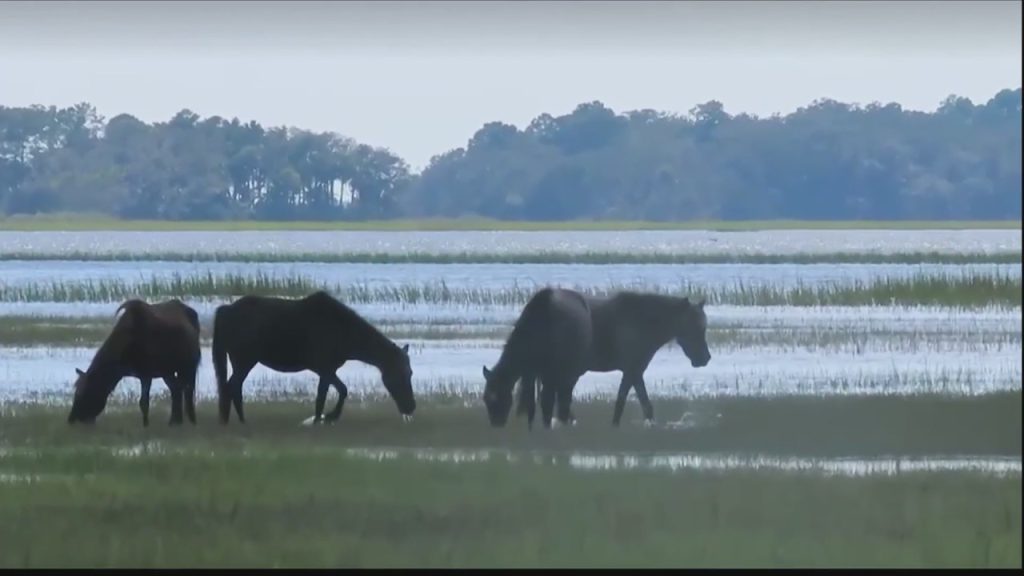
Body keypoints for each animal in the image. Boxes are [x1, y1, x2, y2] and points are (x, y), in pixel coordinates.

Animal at [68, 298, 201, 427]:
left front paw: (146, 425)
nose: (71, 419)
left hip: (189, 366)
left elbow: (144, 402)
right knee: (177, 390)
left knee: (188, 390)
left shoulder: (146, 373)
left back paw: (191, 420)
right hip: (168, 371)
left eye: (81, 393)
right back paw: (175, 421)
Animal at [211, 290, 416, 425]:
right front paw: (330, 416)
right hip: (244, 361)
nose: (411, 407)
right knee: (232, 387)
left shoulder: (327, 371)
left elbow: (322, 396)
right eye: (400, 374)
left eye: (410, 373)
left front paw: (319, 418)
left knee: (232, 387)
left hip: (241, 362)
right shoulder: (324, 368)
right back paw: (239, 421)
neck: (344, 331)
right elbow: (341, 391)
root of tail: (226, 310)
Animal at [483, 287, 711, 429]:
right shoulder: (634, 368)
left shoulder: (633, 370)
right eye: (695, 326)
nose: (705, 358)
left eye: (703, 327)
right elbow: (632, 403)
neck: (649, 324)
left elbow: (634, 404)